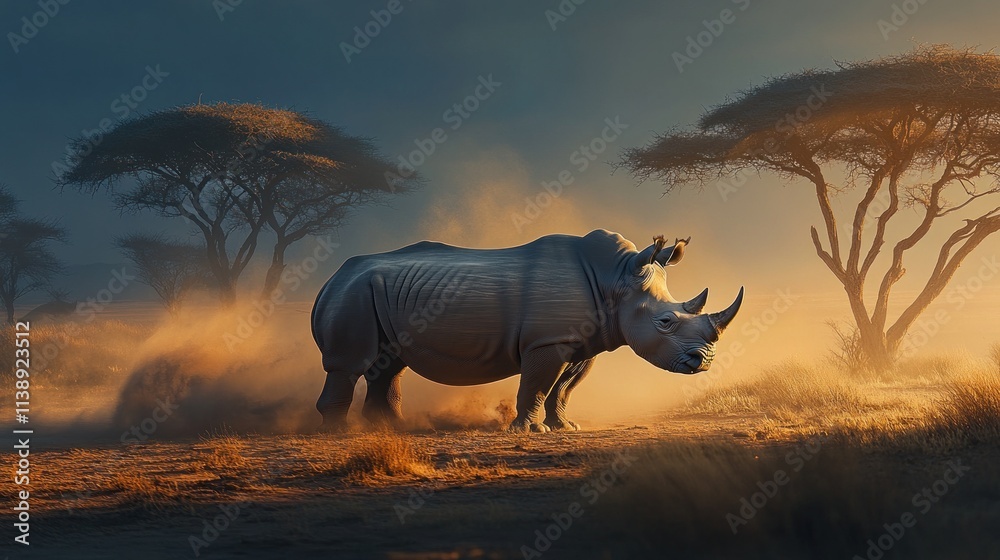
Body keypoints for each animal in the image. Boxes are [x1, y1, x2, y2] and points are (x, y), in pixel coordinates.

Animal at [311, 229, 743, 432]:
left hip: (378, 294)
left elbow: (563, 389)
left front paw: (565, 427)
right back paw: (339, 433)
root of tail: (332, 276)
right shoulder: (546, 341)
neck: (615, 280)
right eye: (665, 322)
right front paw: (529, 431)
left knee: (389, 363)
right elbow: (537, 383)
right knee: (349, 365)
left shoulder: (581, 343)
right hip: (353, 293)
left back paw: (391, 428)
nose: (704, 362)